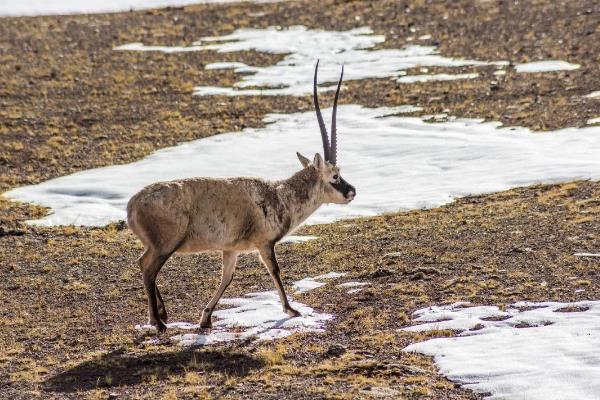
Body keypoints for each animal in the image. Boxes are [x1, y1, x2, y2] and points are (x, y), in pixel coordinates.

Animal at [125, 61, 354, 332]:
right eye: (335, 176)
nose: (352, 191)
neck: (279, 196)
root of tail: (132, 205)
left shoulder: (230, 249)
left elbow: (227, 277)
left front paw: (206, 318)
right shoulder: (264, 244)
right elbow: (275, 270)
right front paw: (291, 310)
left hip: (157, 246)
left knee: (143, 263)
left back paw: (162, 314)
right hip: (166, 246)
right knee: (149, 269)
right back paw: (158, 322)